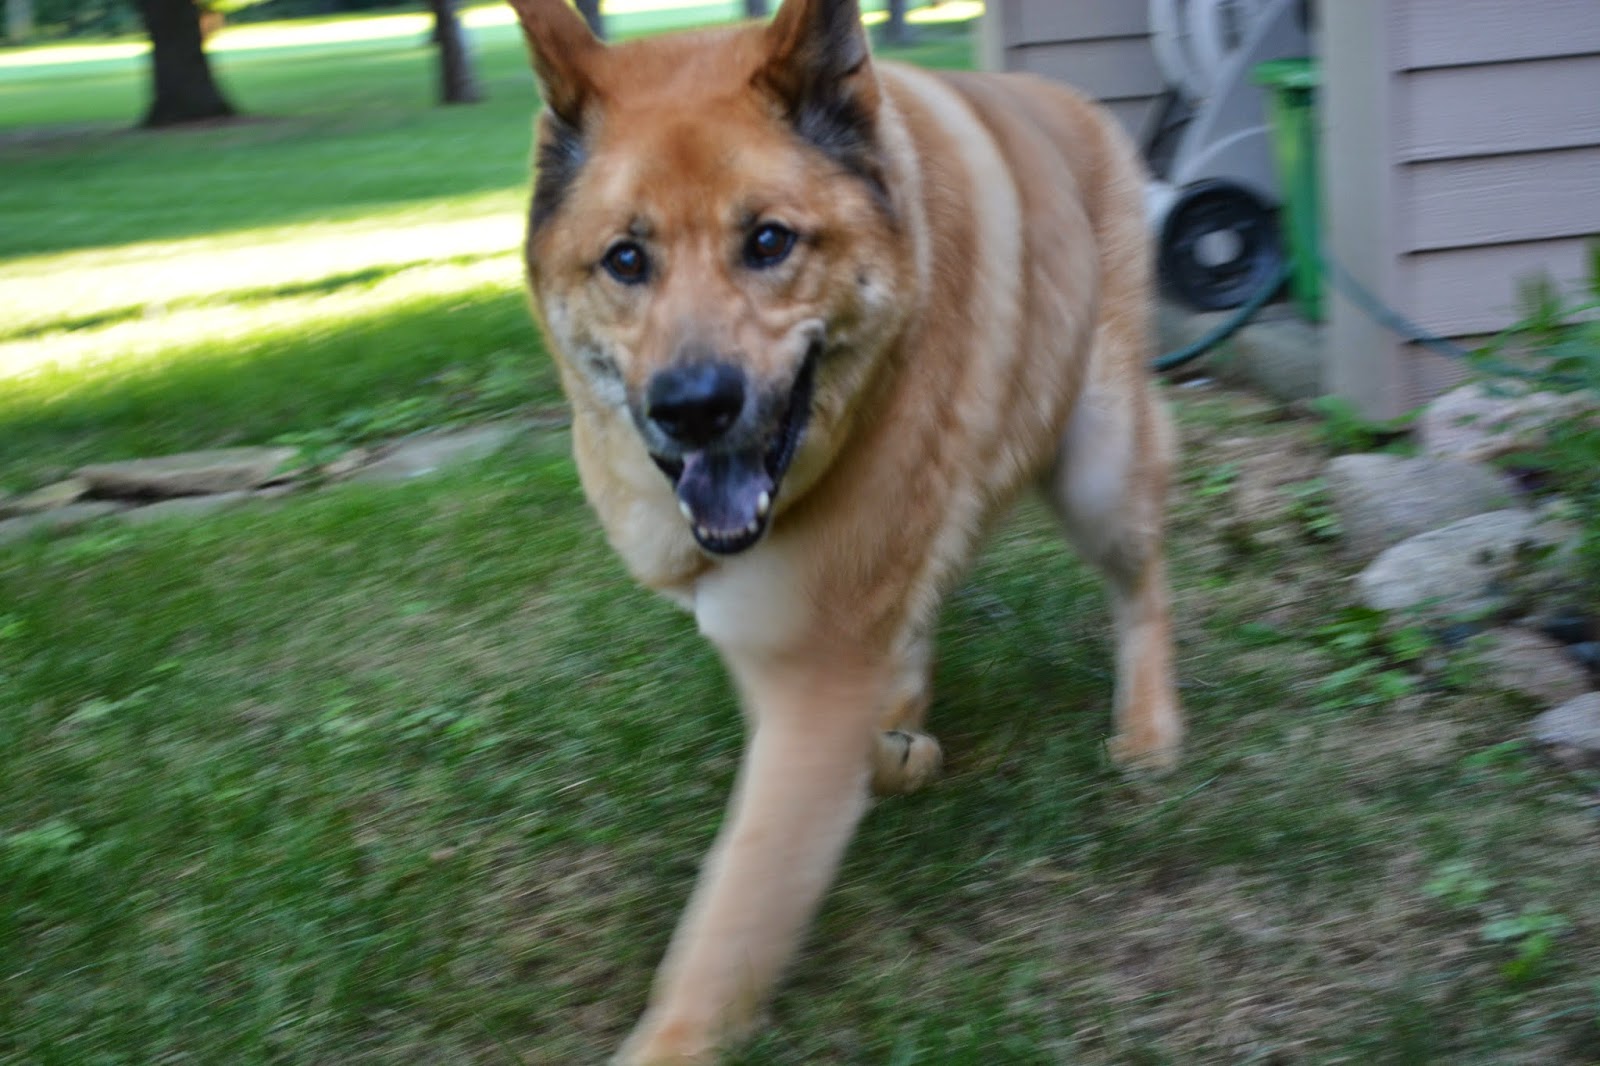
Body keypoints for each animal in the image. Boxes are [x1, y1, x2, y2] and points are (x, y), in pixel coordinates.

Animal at [505, 0, 1184, 1056]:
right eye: (625, 259)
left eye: (769, 241)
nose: (691, 408)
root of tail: (1072, 101)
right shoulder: (804, 657)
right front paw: (904, 749)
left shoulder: (812, 675)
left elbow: (730, 920)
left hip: (1100, 462)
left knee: (1142, 585)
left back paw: (1149, 726)